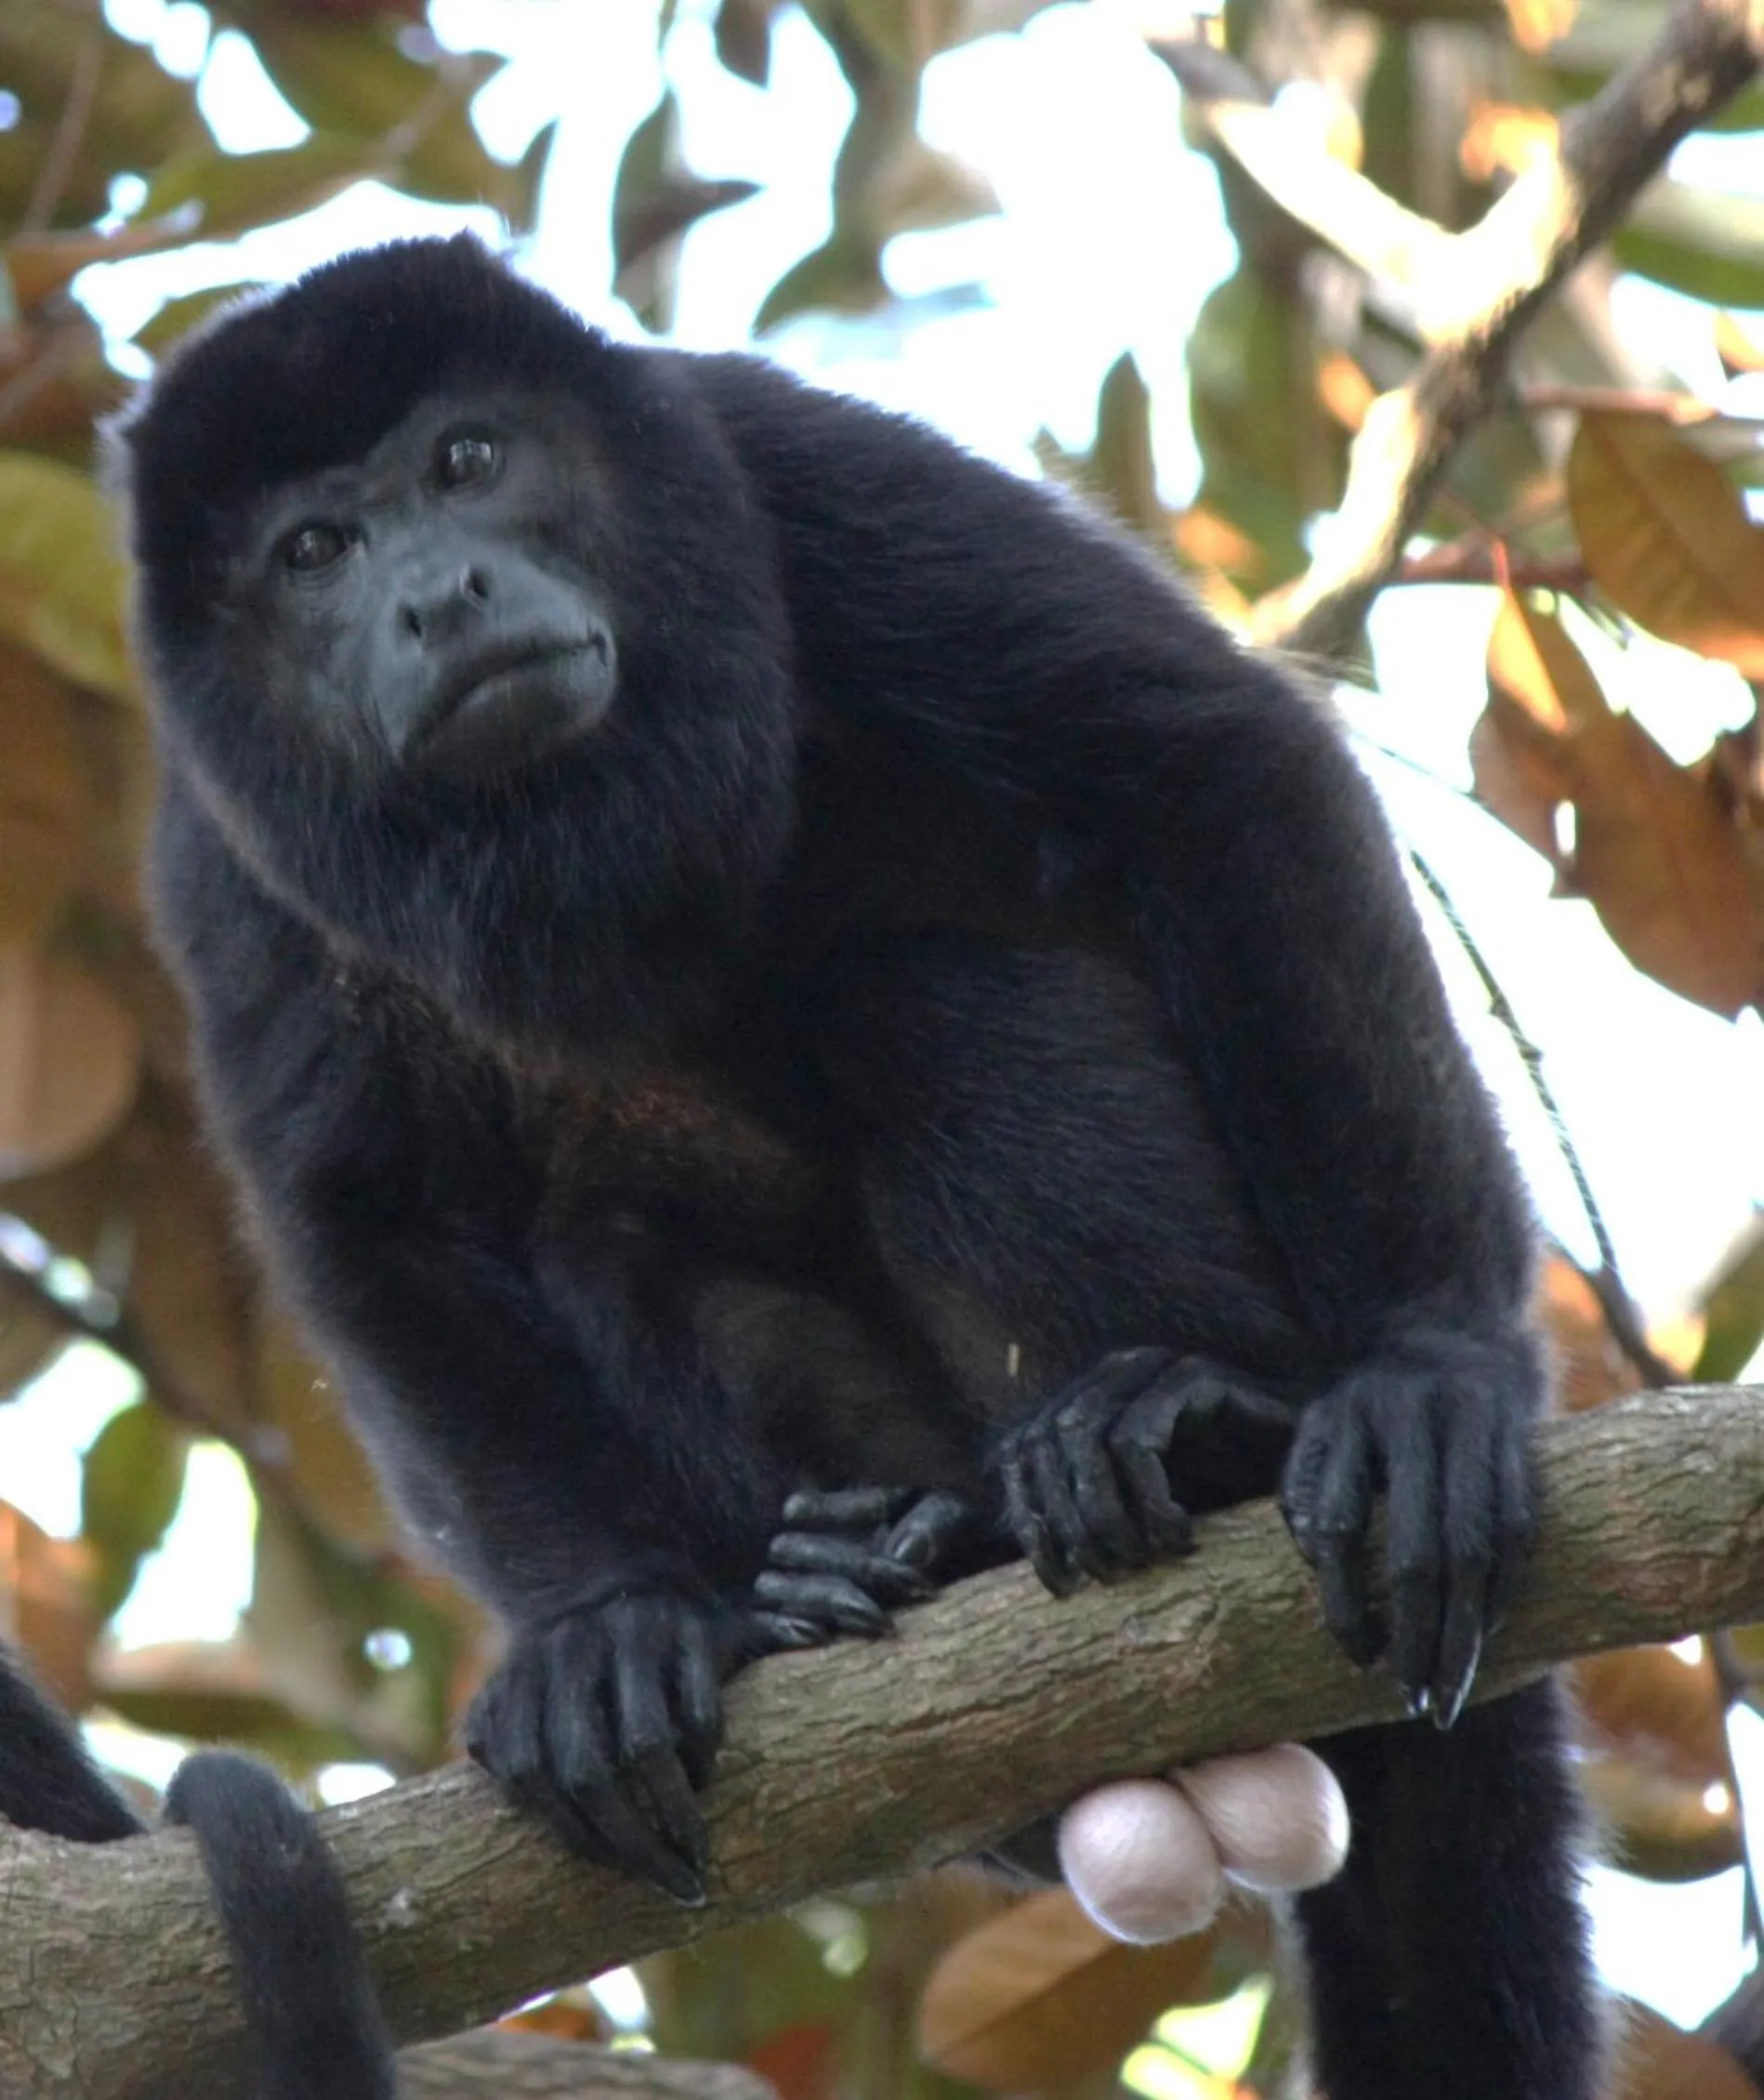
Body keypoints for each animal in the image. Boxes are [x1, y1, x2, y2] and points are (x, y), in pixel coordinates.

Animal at [100, 232, 1597, 2100]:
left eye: (465, 461)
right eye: (312, 552)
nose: (437, 594)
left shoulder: (804, 474)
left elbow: (1202, 758)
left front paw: (1425, 1367)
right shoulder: (216, 858)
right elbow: (365, 1210)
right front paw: (606, 1628)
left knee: (941, 995)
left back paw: (1199, 1425)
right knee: (617, 1240)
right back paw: (857, 1575)